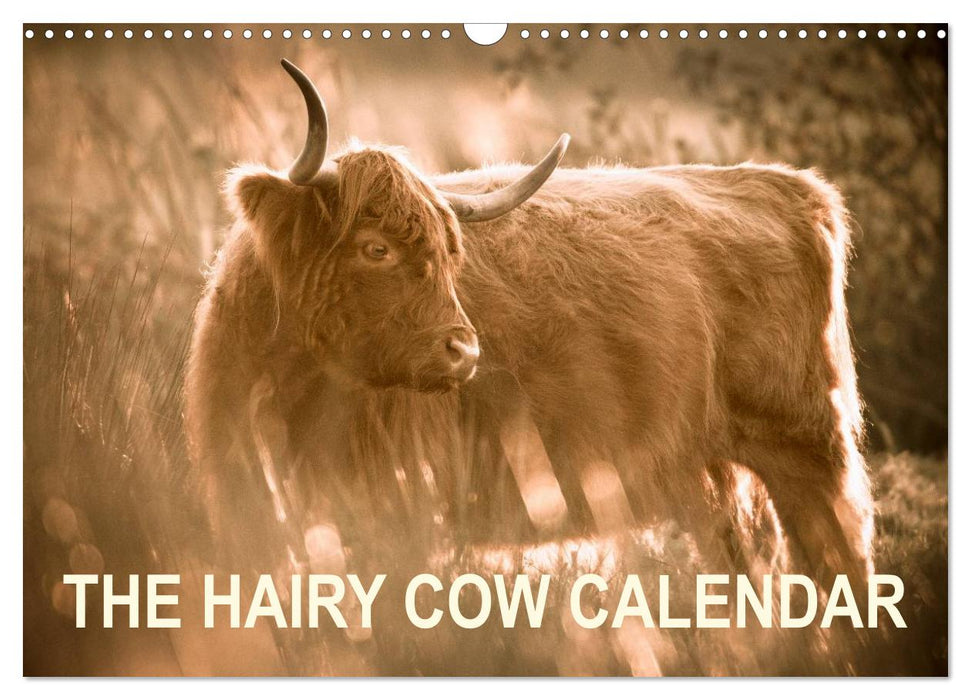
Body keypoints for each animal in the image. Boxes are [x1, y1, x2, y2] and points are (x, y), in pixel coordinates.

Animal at [185, 59, 874, 592]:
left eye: (451, 253)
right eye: (374, 248)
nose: (463, 351)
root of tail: (791, 186)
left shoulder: (402, 506)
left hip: (809, 446)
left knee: (839, 561)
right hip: (713, 471)